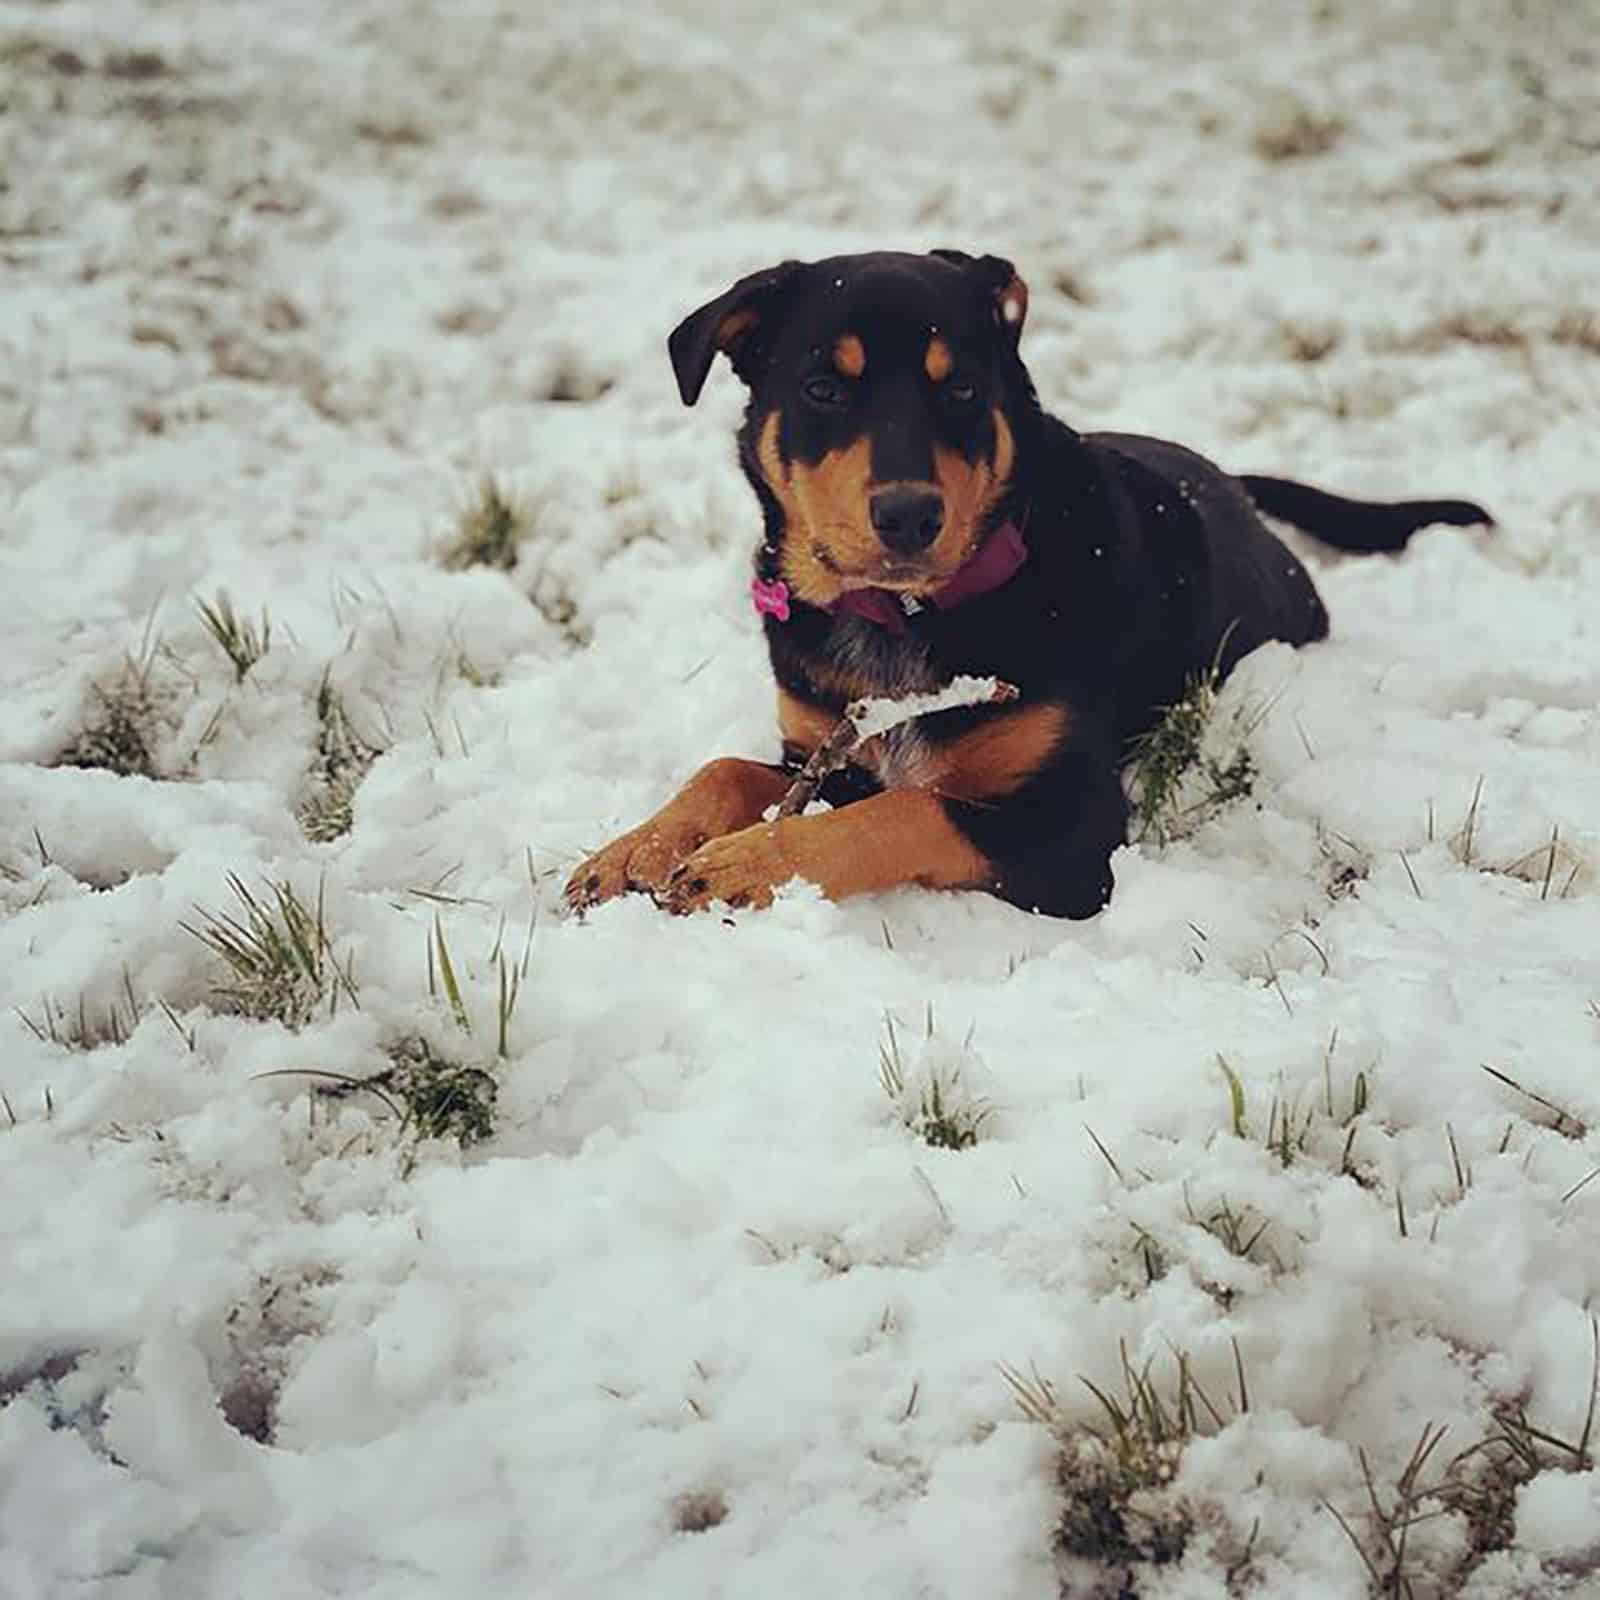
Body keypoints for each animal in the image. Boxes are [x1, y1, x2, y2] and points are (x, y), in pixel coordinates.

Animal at [563, 252, 1484, 928]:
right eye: (823, 388)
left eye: (962, 388)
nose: (909, 514)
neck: (902, 617)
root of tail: (1234, 484)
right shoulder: (822, 747)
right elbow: (726, 768)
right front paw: (633, 850)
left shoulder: (1075, 834)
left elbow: (910, 810)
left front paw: (743, 865)